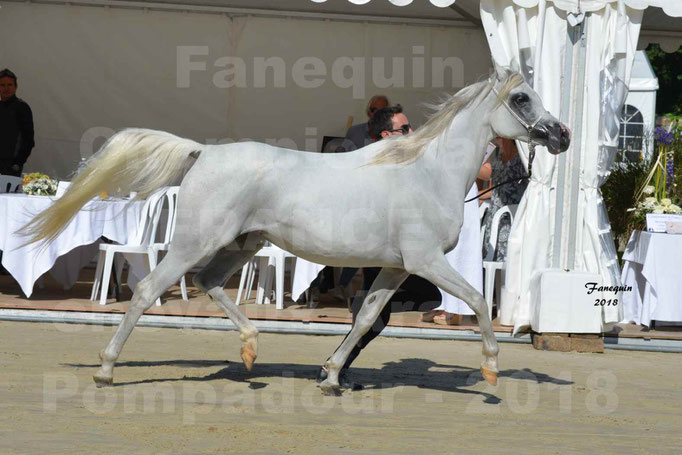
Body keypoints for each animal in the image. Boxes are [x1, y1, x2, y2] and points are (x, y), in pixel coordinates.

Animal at [21, 67, 568, 396]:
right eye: (522, 97)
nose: (561, 135)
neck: (427, 171)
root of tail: (204, 152)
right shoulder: (426, 261)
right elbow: (477, 300)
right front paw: (491, 368)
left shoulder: (396, 268)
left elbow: (365, 318)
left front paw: (331, 377)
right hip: (195, 243)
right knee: (149, 289)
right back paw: (106, 368)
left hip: (242, 245)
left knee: (208, 283)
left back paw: (250, 350)